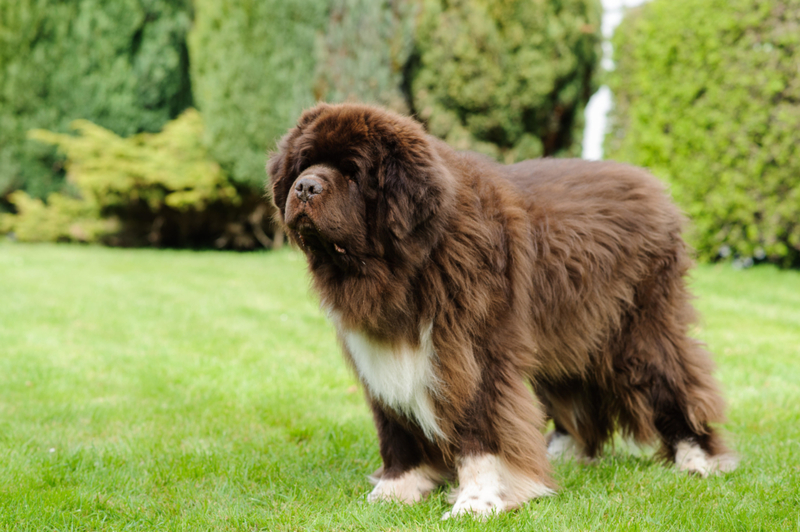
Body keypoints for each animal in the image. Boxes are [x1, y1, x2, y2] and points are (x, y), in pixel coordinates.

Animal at [268, 103, 736, 520]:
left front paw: (478, 501)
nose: (305, 187)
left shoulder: (475, 354)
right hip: (569, 329)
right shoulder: (382, 355)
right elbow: (394, 423)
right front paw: (398, 488)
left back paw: (698, 457)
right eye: (303, 164)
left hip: (638, 329)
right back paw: (564, 451)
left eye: (353, 172)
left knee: (676, 378)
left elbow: (482, 427)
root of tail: (653, 185)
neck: (407, 265)